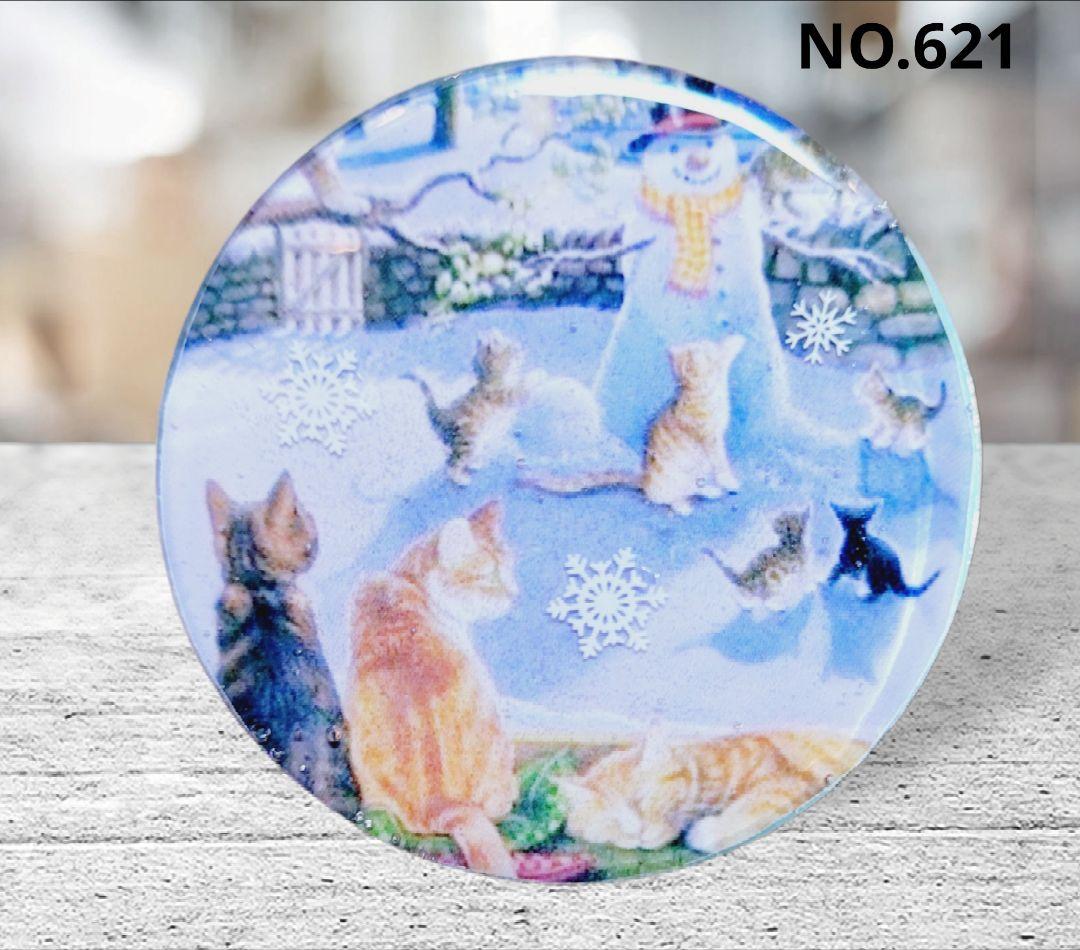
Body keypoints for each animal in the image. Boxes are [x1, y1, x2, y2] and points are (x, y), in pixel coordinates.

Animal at [408, 329, 527, 486]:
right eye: (514, 349)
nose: (523, 350)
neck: (488, 377)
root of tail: (443, 414)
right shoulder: (505, 396)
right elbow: (521, 390)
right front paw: (537, 378)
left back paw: (474, 463)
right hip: (467, 439)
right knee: (452, 463)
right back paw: (460, 480)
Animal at [524, 335, 745, 515]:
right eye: (703, 346)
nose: (706, 343)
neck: (694, 390)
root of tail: (644, 479)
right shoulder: (710, 439)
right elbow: (721, 463)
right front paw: (730, 481)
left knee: (696, 486)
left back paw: (709, 490)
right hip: (673, 483)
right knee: (667, 497)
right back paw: (682, 505)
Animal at [558, 729, 866, 852]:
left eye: (645, 800)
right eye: (611, 823)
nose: (639, 833)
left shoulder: (790, 781)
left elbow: (756, 804)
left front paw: (711, 831)